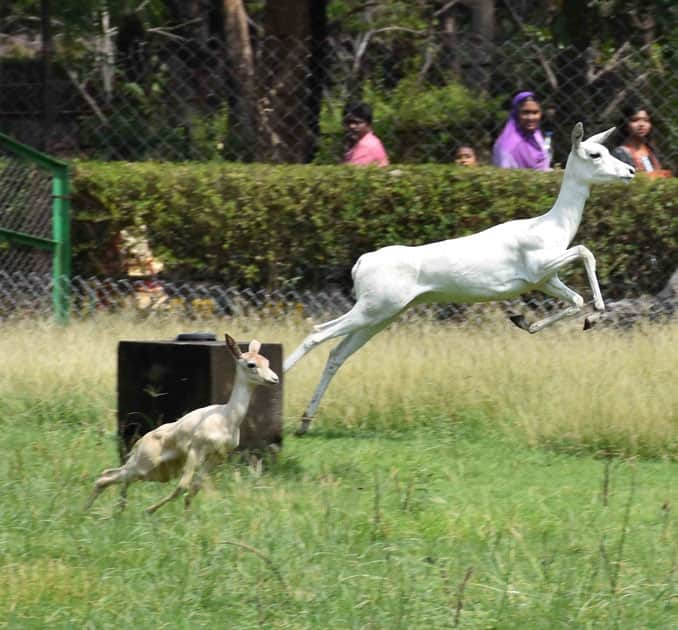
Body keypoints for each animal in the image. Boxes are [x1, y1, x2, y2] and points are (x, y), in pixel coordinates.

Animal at [87, 336, 278, 512]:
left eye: (267, 361)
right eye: (251, 364)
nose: (274, 379)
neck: (226, 418)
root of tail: (139, 443)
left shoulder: (217, 456)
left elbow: (194, 488)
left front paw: (187, 518)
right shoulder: (196, 451)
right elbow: (182, 486)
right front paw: (148, 510)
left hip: (154, 473)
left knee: (113, 477)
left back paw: (117, 510)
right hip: (144, 467)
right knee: (104, 477)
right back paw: (87, 512)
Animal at [286, 124, 636, 440]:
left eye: (606, 149)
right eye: (595, 153)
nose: (631, 170)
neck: (551, 227)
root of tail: (361, 263)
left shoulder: (545, 280)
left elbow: (576, 300)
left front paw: (532, 321)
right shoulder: (539, 267)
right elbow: (586, 251)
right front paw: (589, 314)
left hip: (382, 314)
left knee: (337, 353)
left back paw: (305, 422)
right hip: (373, 308)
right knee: (317, 333)